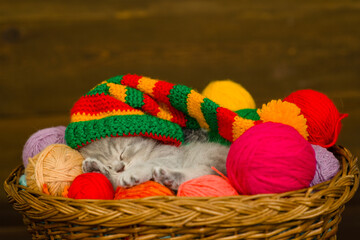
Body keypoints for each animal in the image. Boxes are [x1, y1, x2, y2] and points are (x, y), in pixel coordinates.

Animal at [80, 130, 229, 190]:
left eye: (122, 153)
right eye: (109, 165)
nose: (120, 168)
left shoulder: (172, 156)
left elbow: (150, 163)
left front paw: (133, 173)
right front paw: (95, 167)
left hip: (207, 156)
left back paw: (169, 177)